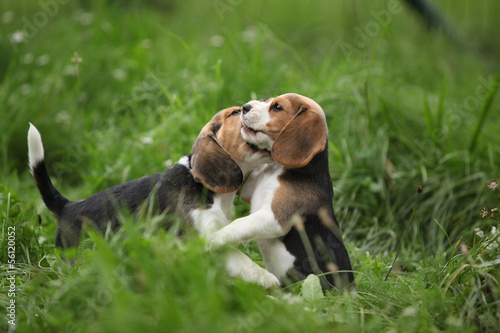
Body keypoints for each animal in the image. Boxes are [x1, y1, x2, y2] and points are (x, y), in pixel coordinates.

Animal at [29, 107, 280, 288]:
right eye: (235, 113)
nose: (250, 106)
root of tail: (67, 206)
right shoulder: (201, 236)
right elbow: (237, 256)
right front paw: (265, 277)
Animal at [207, 93, 356, 290]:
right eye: (265, 100)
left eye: (277, 107)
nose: (245, 107)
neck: (277, 169)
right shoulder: (248, 187)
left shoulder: (274, 217)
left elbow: (240, 223)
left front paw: (212, 239)